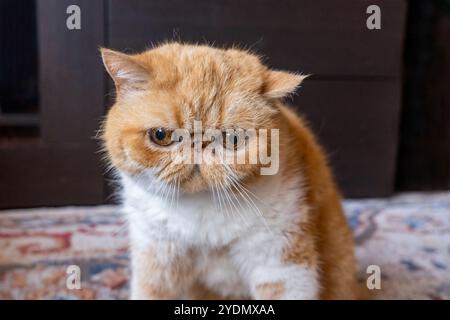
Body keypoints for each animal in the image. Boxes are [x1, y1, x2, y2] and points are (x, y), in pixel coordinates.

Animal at [99, 42, 358, 300]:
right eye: (161, 135)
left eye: (232, 139)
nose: (199, 145)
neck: (200, 210)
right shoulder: (156, 259)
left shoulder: (282, 265)